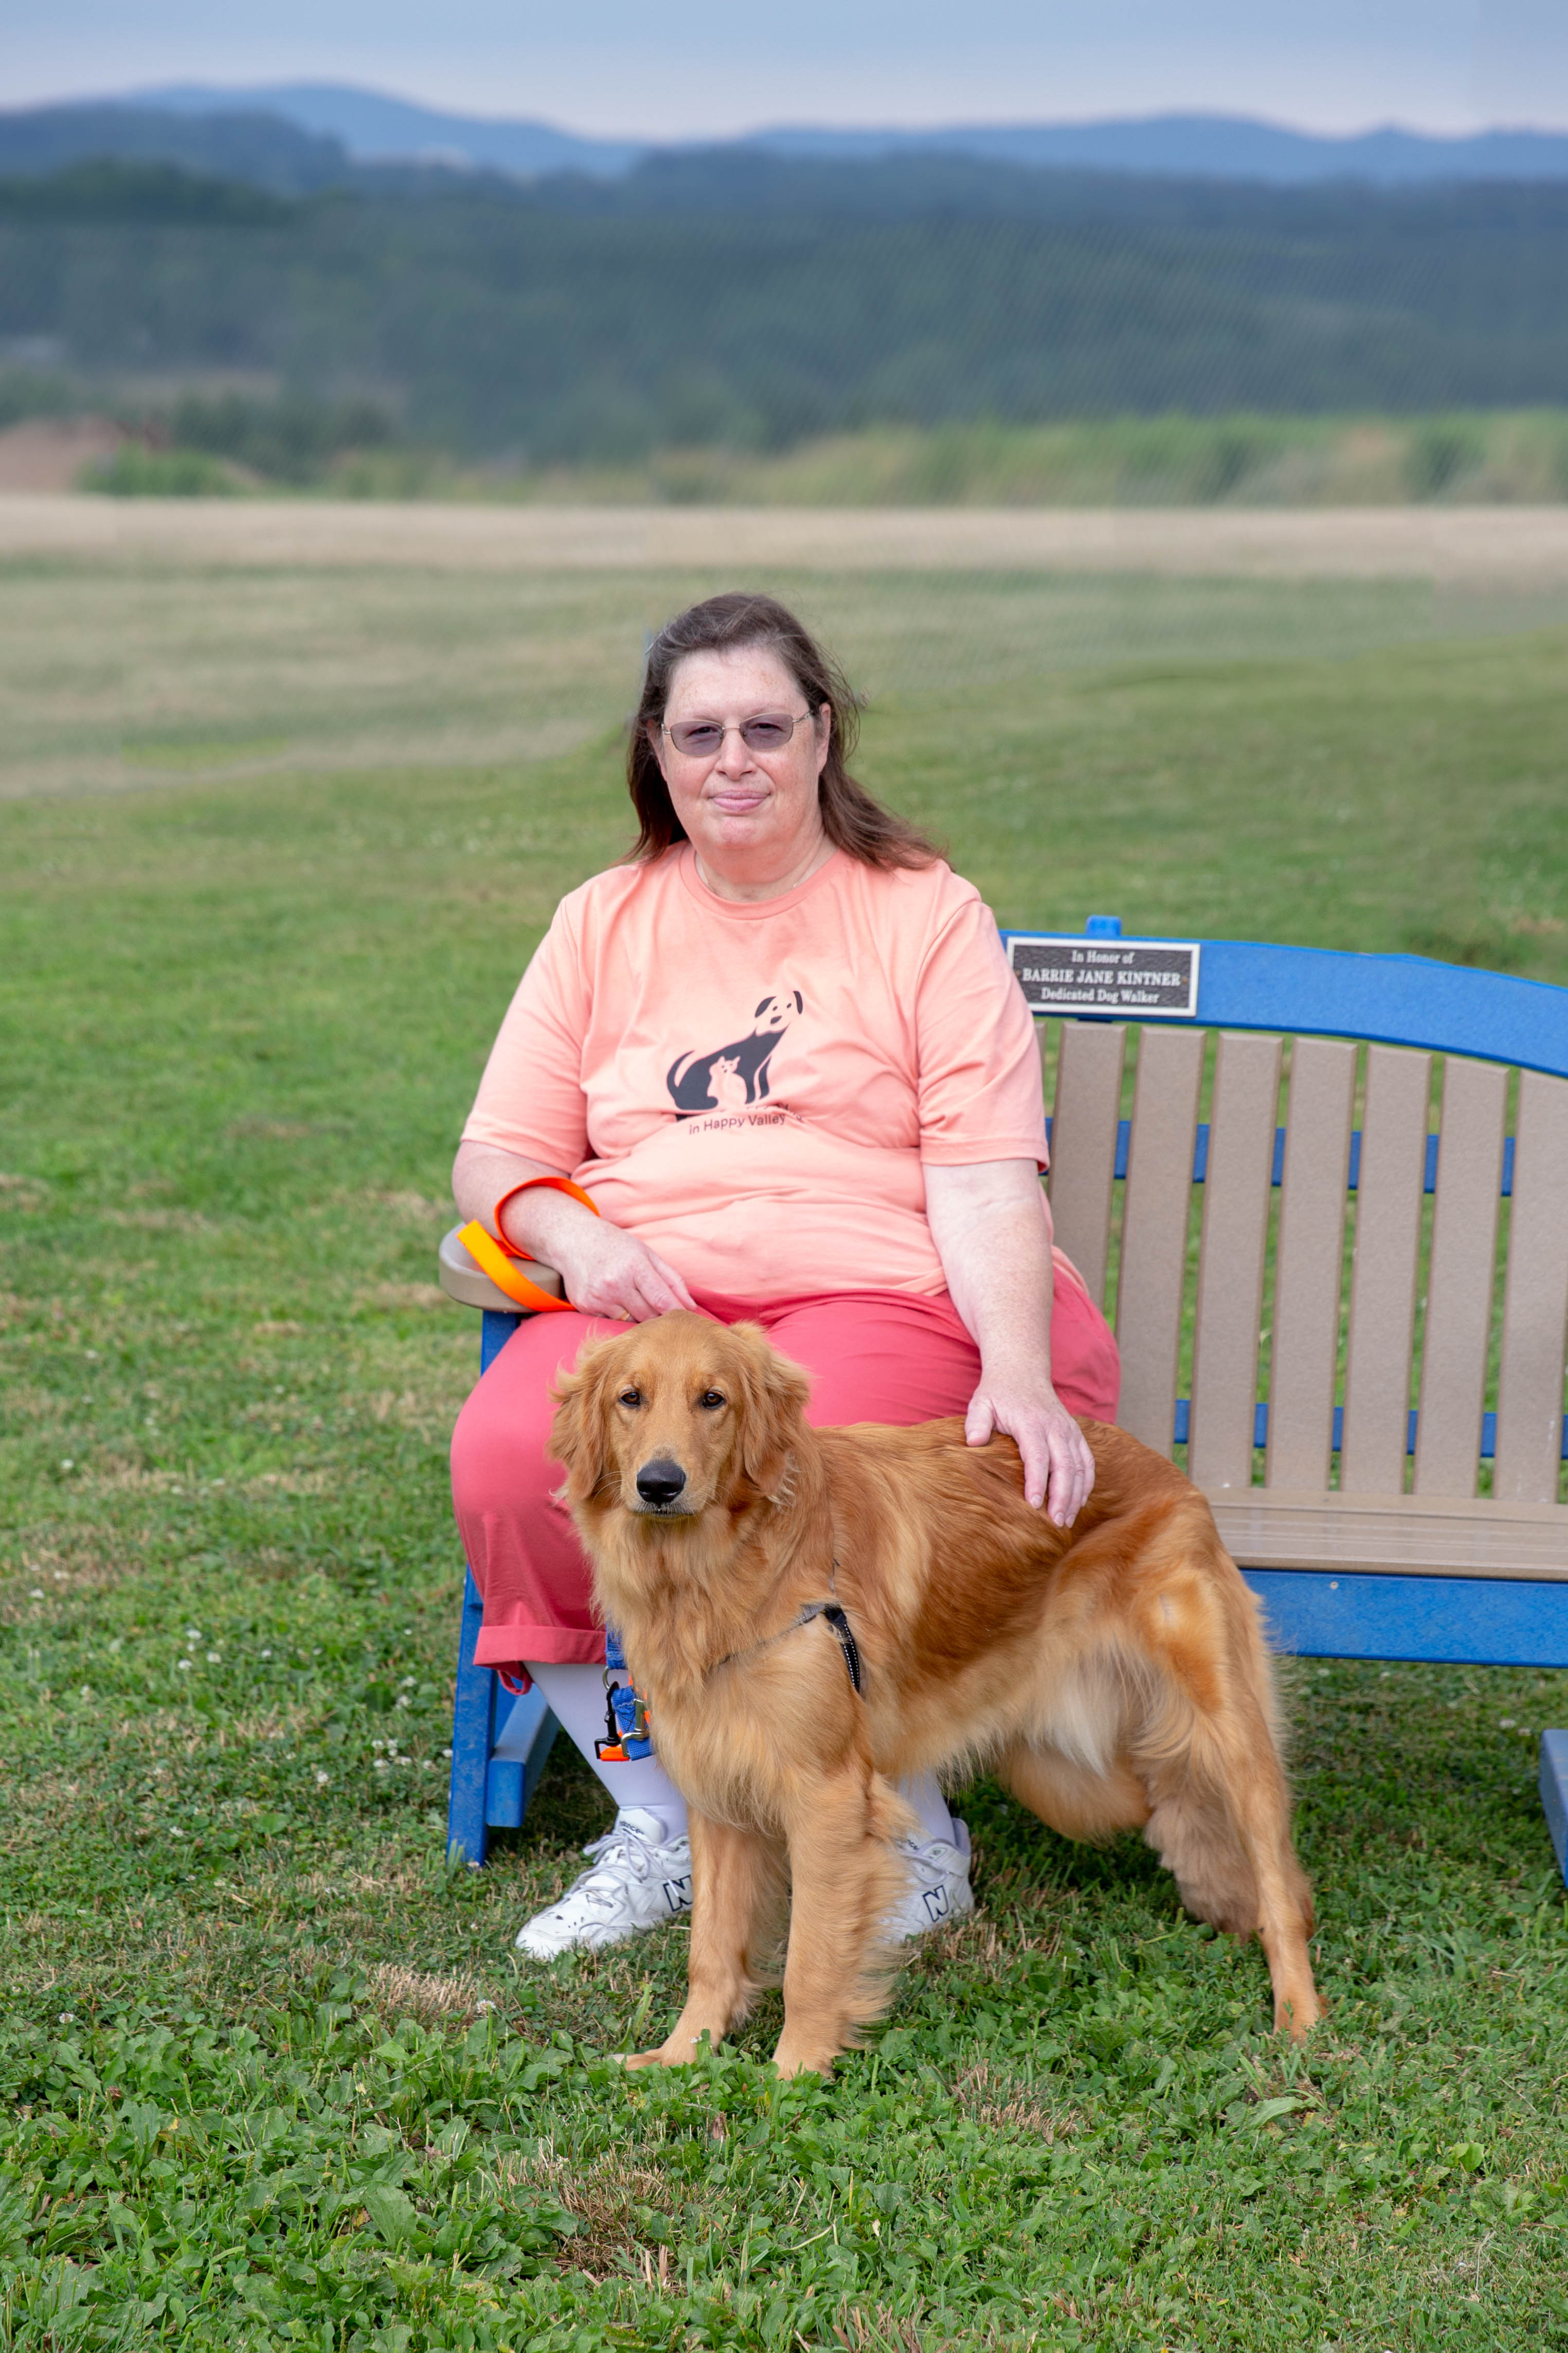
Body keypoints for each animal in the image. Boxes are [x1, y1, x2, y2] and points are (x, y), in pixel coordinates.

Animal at [552, 1317, 1326, 2071]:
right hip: (1065, 1774)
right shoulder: (717, 1784)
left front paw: (793, 2072)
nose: (659, 1483)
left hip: (1227, 1734)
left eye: (712, 1399)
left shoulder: (828, 1797)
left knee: (1280, 1885)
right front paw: (683, 2053)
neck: (715, 1571)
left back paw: (1298, 2015)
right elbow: (711, 1947)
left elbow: (810, 1959)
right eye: (630, 1398)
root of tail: (1158, 1464)